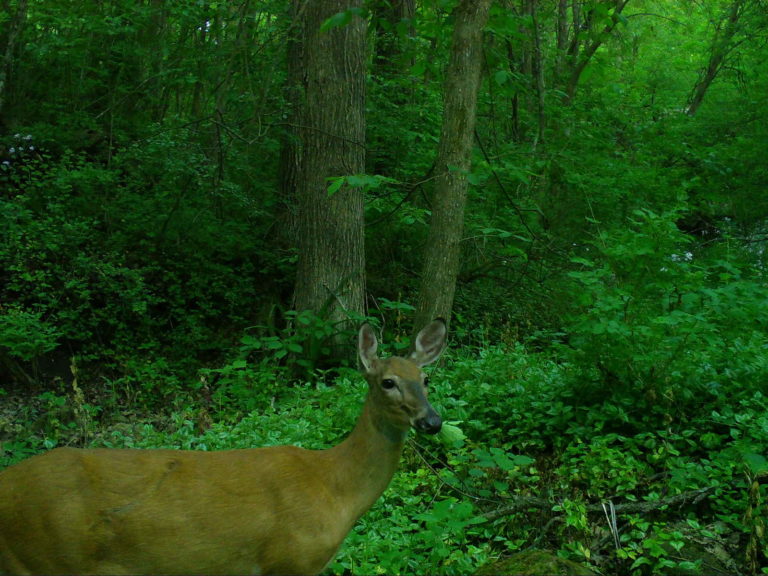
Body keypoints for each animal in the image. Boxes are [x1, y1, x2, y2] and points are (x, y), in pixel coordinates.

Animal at [0, 320, 448, 576]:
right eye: (388, 382)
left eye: (425, 379)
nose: (432, 421)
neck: (334, 488)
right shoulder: (290, 560)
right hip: (44, 559)